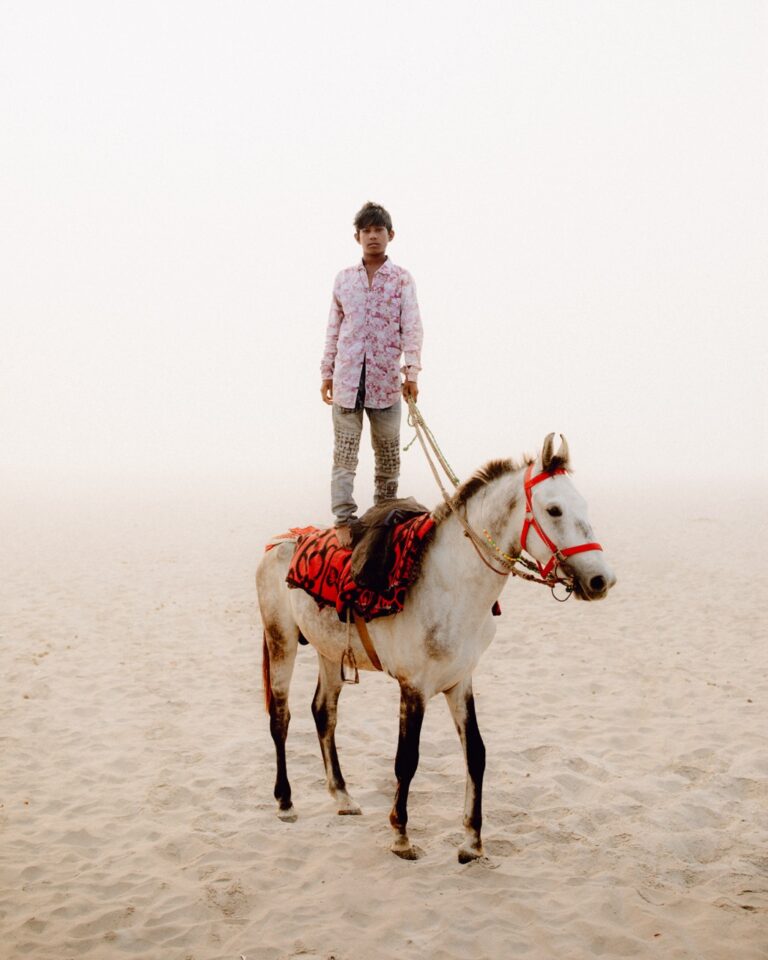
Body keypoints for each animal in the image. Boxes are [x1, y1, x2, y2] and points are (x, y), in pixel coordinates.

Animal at [255, 436, 616, 864]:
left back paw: (342, 796)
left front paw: (472, 841)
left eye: (584, 505)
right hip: (281, 639)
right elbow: (406, 760)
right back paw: (285, 801)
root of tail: (278, 542)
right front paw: (401, 836)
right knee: (281, 716)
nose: (602, 579)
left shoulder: (460, 681)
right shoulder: (414, 687)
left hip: (329, 652)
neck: (451, 583)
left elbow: (476, 753)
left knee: (323, 712)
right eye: (554, 509)